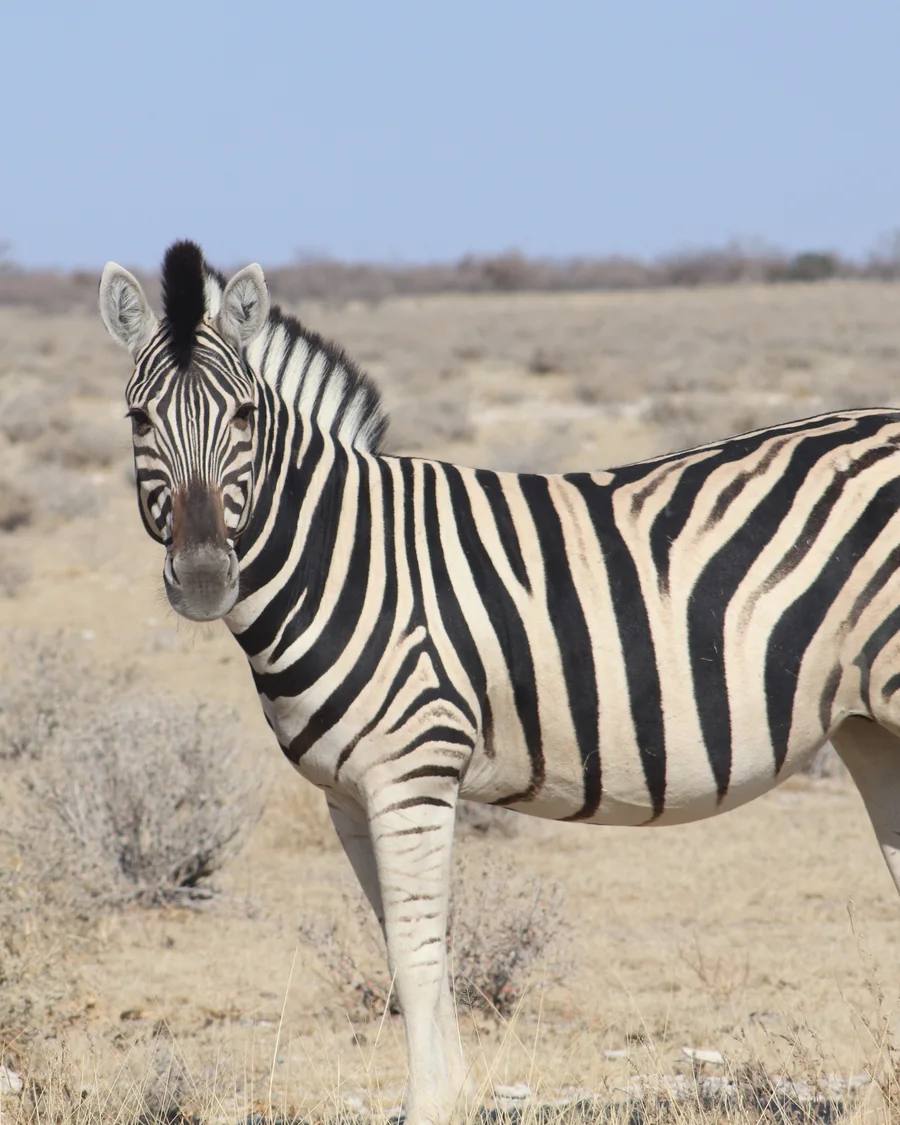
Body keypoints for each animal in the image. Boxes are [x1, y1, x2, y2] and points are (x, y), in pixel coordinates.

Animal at [101, 239, 900, 1124]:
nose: (207, 576)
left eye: (245, 417)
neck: (344, 554)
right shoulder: (348, 794)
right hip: (870, 726)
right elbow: (411, 944)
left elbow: (416, 953)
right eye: (139, 422)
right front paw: (453, 1094)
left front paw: (433, 1103)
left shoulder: (412, 770)